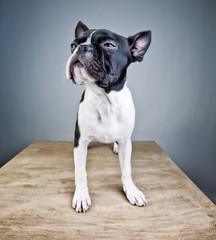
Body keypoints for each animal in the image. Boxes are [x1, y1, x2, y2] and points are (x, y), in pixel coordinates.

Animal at [65, 21, 151, 212]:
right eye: (72, 45)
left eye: (109, 45)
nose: (81, 48)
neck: (104, 99)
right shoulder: (80, 139)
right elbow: (80, 172)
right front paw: (81, 195)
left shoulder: (126, 141)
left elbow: (126, 170)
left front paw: (131, 191)